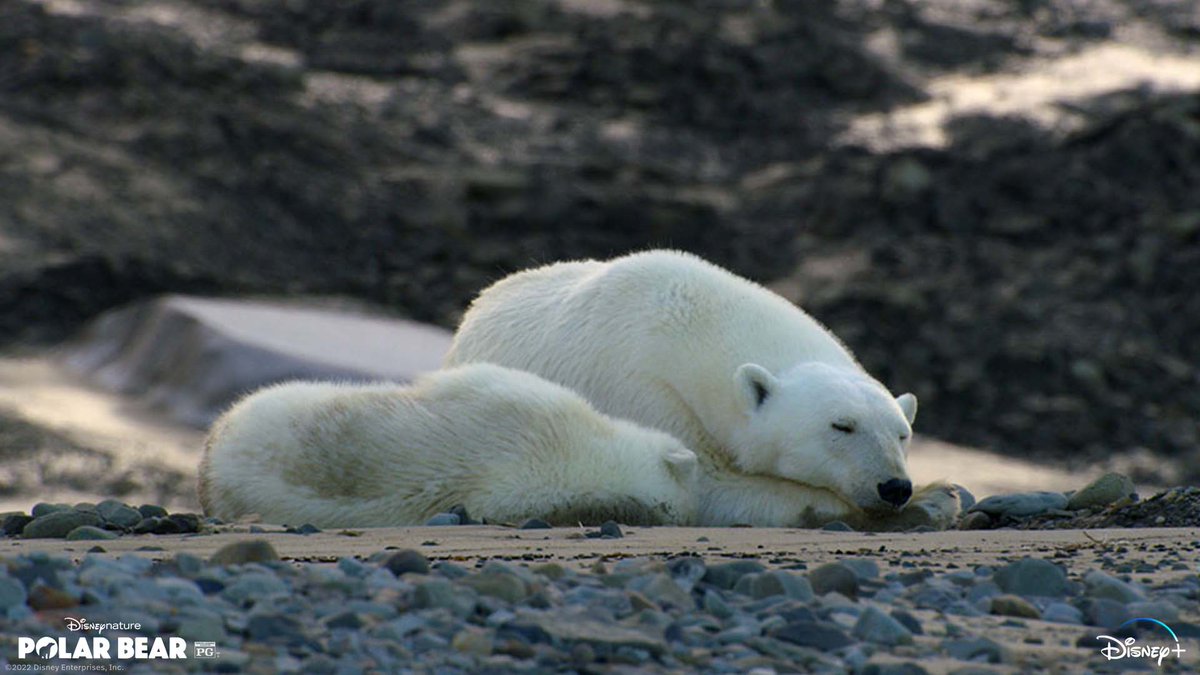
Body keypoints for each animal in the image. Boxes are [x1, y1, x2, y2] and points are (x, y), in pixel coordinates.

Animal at [445, 249, 959, 530]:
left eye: (902, 434)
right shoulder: (644, 389)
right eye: (842, 426)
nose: (894, 486)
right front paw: (934, 499)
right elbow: (708, 487)